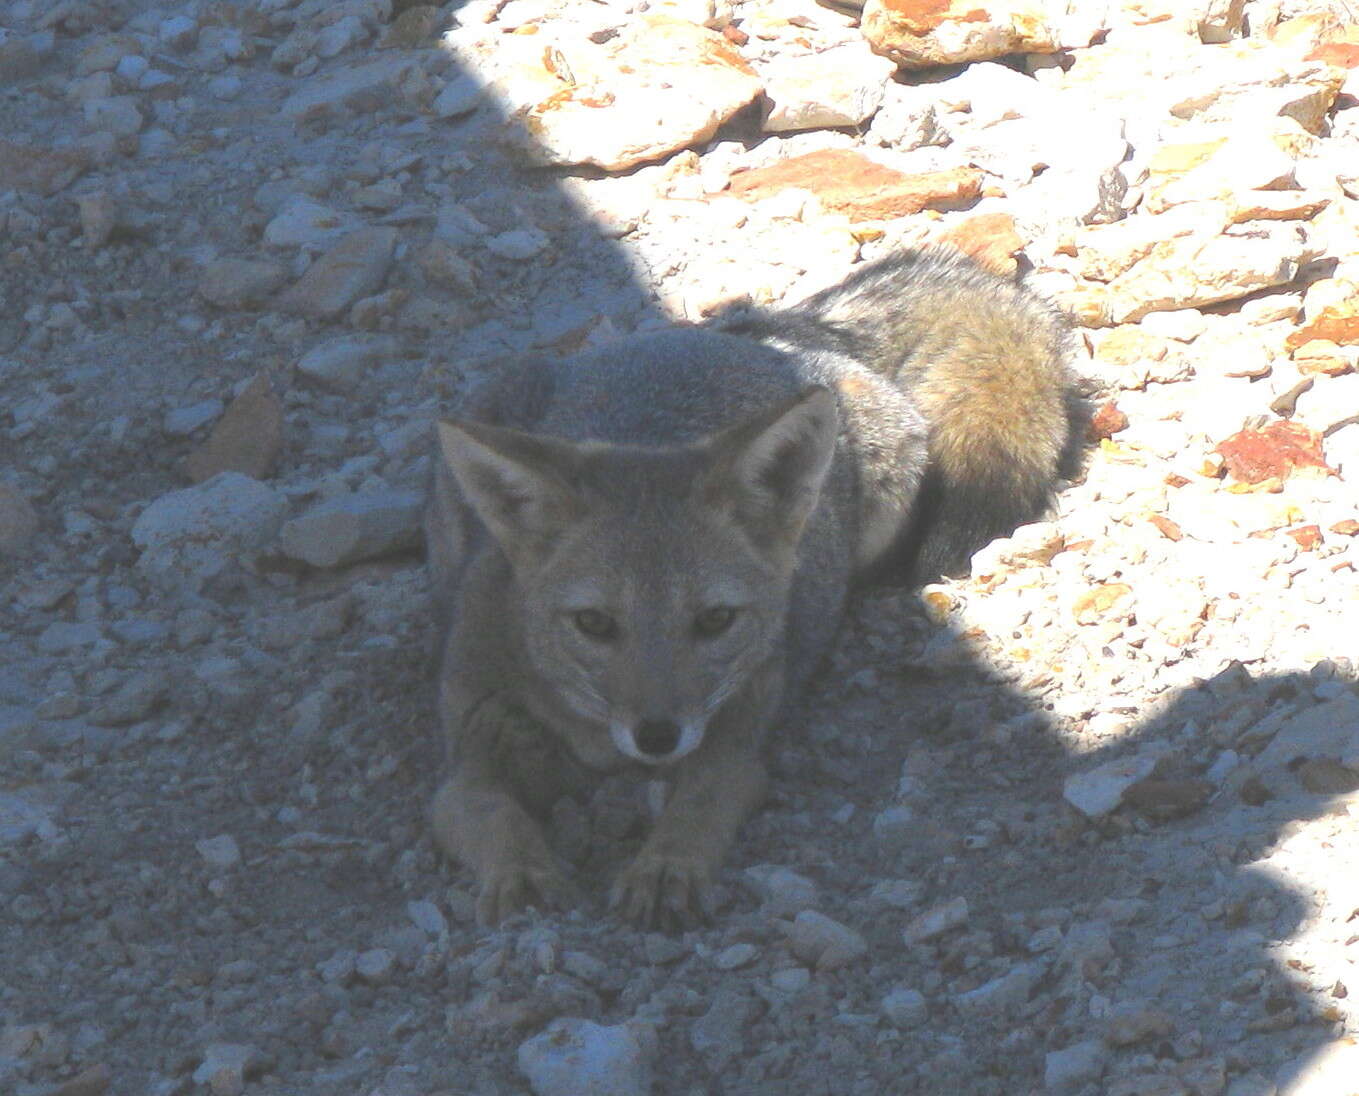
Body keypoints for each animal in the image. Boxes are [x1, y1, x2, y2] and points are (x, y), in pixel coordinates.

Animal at [424, 246, 1081, 924]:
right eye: (594, 624)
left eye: (715, 620)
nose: (656, 736)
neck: (601, 744)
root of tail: (775, 333)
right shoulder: (460, 763)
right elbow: (490, 810)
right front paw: (520, 873)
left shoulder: (739, 744)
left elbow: (705, 795)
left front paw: (667, 863)